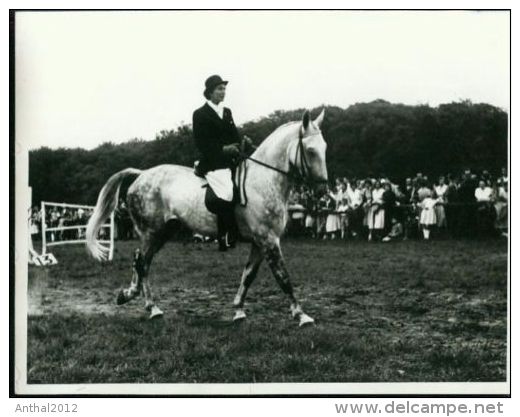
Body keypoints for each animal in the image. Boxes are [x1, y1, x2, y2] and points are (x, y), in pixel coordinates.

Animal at [87, 109, 328, 324]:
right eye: (310, 150)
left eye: (324, 148)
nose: (321, 190)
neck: (263, 181)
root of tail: (142, 174)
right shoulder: (268, 240)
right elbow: (283, 276)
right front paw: (301, 315)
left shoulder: (260, 242)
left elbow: (249, 275)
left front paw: (239, 310)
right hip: (150, 232)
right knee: (142, 263)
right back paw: (151, 307)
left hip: (163, 232)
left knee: (142, 261)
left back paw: (132, 295)